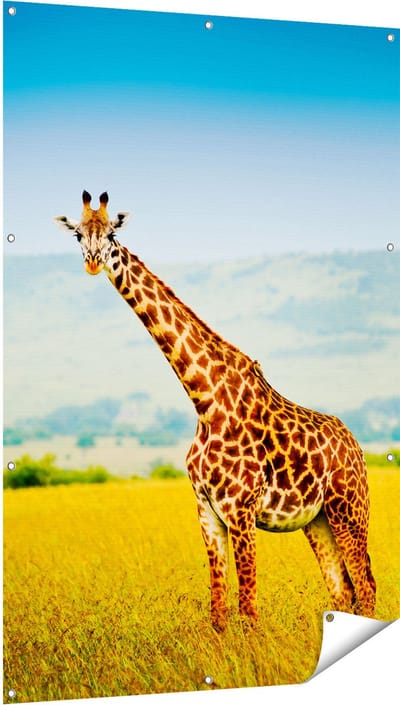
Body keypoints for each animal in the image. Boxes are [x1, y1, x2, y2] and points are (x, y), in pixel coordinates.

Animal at [55, 191, 376, 631]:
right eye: (77, 234)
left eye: (112, 233)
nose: (91, 261)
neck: (204, 400)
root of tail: (356, 445)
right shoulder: (206, 510)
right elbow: (219, 610)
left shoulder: (240, 509)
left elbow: (249, 607)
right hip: (318, 519)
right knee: (343, 592)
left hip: (349, 509)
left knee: (366, 587)